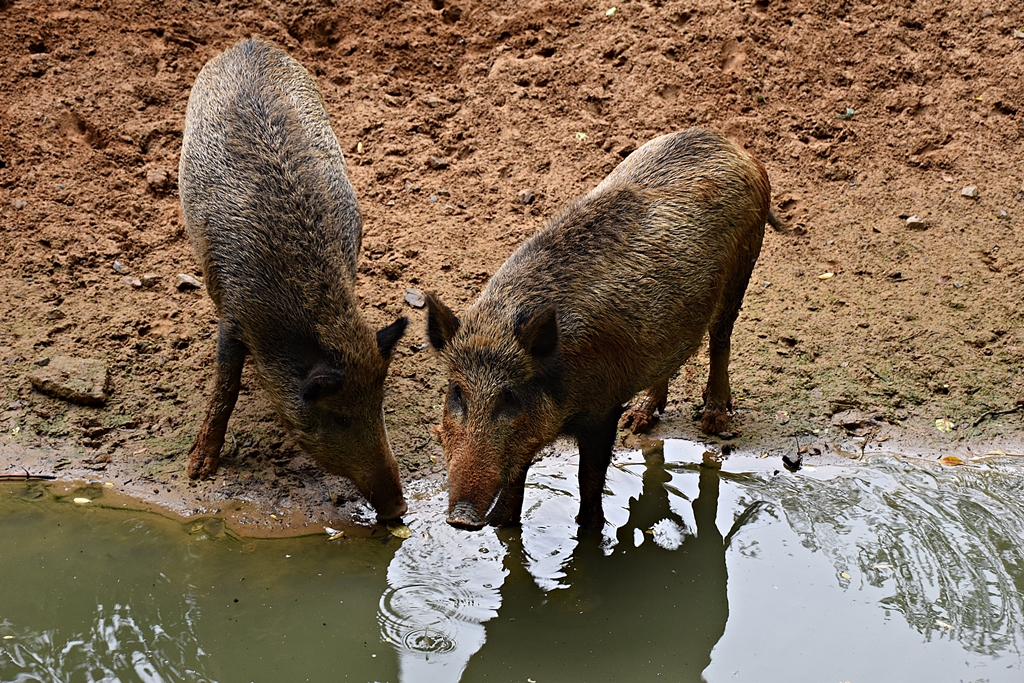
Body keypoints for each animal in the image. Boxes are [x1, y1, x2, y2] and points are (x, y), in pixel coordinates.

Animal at [178, 38, 408, 521]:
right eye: (337, 415)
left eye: (378, 406)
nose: (398, 507)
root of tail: (247, 43)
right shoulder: (233, 315)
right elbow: (225, 385)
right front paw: (199, 471)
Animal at [425, 128, 773, 530]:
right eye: (456, 392)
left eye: (509, 396)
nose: (462, 518)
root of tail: (730, 143)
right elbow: (514, 490)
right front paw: (504, 524)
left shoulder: (603, 410)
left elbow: (589, 481)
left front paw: (591, 529)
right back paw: (639, 421)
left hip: (744, 263)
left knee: (720, 338)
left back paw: (712, 423)